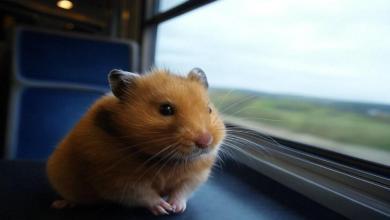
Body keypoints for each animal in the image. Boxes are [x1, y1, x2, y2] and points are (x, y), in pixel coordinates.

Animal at [45, 67, 225, 215]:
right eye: (165, 109)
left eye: (209, 109)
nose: (206, 141)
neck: (166, 160)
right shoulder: (118, 181)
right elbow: (143, 195)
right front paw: (164, 209)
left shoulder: (196, 176)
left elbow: (182, 190)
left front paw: (176, 208)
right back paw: (60, 204)